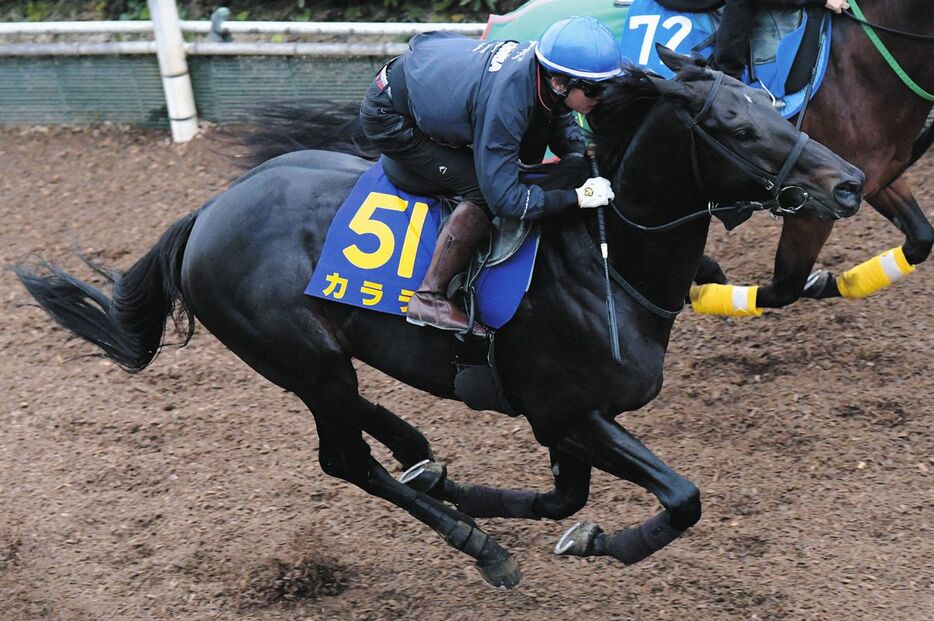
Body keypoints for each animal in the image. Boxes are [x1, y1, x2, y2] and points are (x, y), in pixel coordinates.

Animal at [12, 50, 864, 588]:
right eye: (736, 126)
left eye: (777, 107)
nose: (850, 183)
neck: (605, 261)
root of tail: (207, 214)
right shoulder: (564, 410)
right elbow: (679, 496)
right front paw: (596, 542)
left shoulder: (567, 420)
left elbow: (565, 499)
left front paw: (488, 496)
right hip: (300, 355)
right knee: (344, 458)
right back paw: (477, 545)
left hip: (313, 360)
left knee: (366, 419)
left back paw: (422, 455)